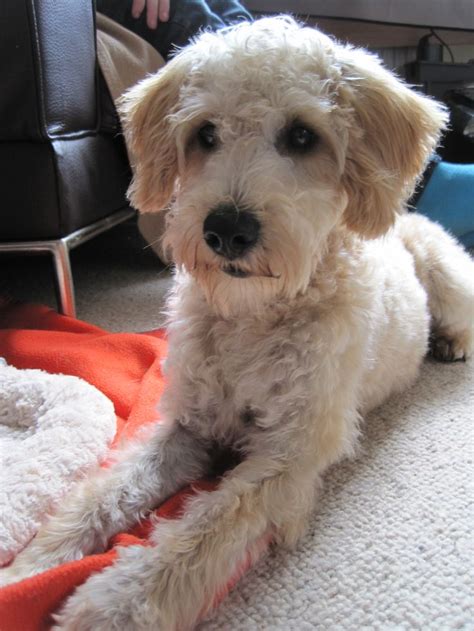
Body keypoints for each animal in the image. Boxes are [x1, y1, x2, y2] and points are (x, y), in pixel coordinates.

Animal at [0, 16, 474, 631]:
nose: (226, 230)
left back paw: (451, 341)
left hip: (446, 273)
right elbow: (105, 493)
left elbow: (204, 533)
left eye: (302, 136)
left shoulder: (287, 459)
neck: (255, 316)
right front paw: (31, 568)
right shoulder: (188, 428)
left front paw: (110, 607)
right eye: (205, 133)